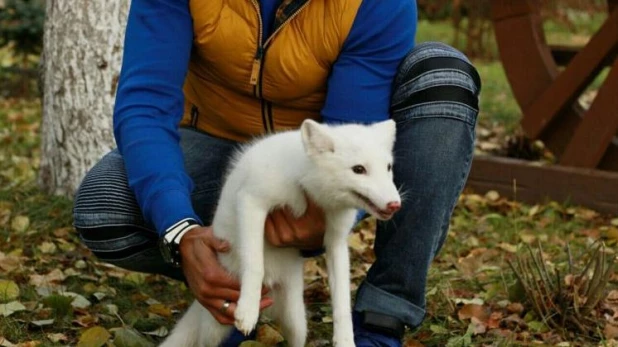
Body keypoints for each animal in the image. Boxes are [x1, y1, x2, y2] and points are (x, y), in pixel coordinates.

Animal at [159, 120, 400, 347]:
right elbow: (255, 263)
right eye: (358, 169)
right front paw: (247, 311)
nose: (395, 204)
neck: (303, 178)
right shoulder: (251, 202)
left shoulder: (336, 242)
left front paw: (345, 340)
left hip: (297, 321)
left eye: (388, 167)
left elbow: (342, 302)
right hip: (215, 327)